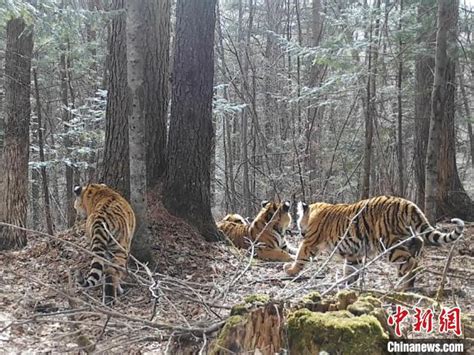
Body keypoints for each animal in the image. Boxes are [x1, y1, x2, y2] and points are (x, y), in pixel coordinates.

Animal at [284, 196, 464, 290]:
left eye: (298, 220)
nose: (299, 231)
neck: (313, 213)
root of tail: (406, 203)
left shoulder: (310, 242)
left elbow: (300, 256)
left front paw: (290, 270)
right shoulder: (353, 252)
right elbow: (351, 269)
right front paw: (345, 283)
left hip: (388, 243)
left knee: (411, 261)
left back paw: (403, 285)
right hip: (405, 237)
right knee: (417, 245)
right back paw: (405, 280)